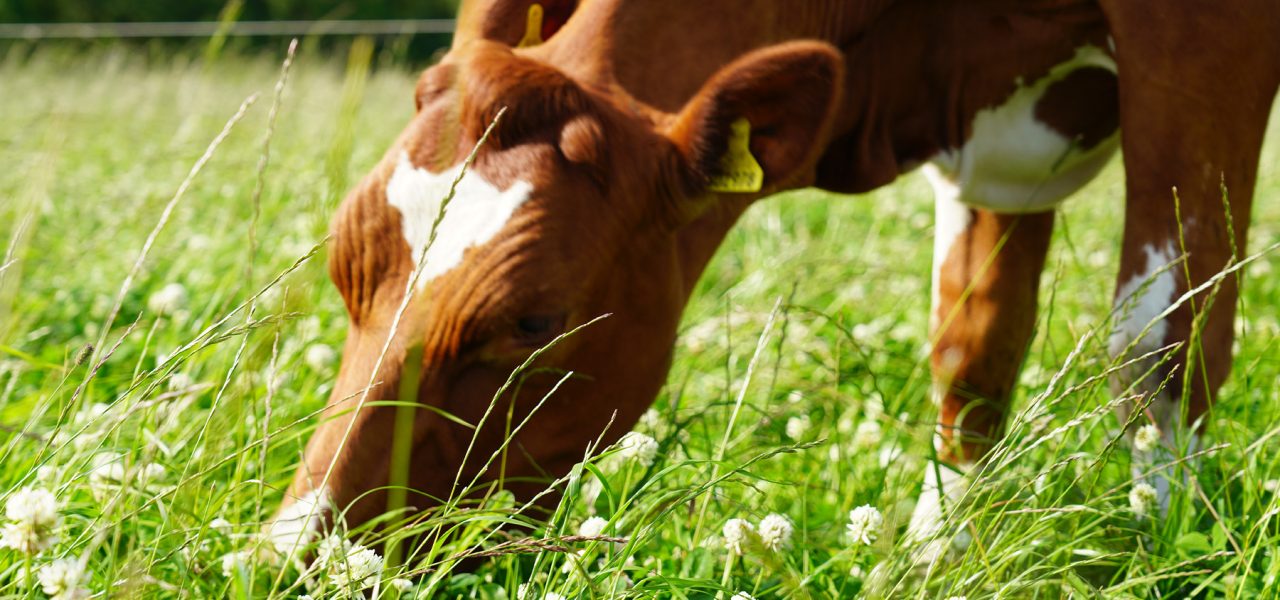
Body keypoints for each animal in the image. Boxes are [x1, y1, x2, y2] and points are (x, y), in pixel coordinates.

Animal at [270, 0, 1280, 557]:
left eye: (532, 322)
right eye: (344, 261)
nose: (290, 558)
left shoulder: (1201, 36)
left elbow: (1163, 344)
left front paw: (1152, 552)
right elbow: (974, 351)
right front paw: (934, 559)